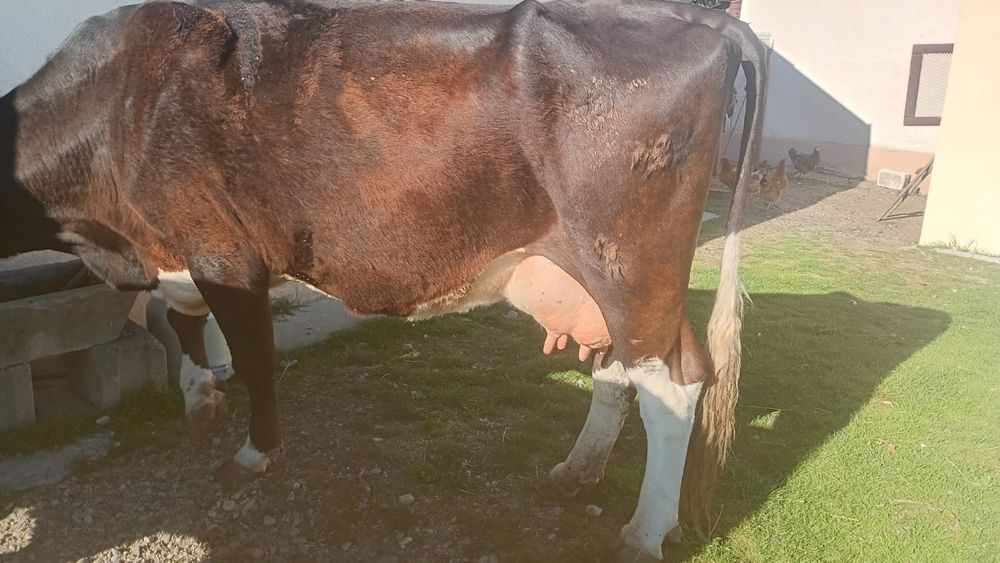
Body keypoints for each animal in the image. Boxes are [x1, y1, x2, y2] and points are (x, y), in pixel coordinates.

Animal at [0, 0, 766, 559]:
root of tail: (706, 19)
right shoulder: (173, 246)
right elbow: (184, 318)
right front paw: (197, 401)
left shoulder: (224, 249)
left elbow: (253, 357)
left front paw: (252, 452)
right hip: (617, 277)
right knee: (630, 370)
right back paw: (576, 473)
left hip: (628, 258)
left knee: (674, 386)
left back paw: (642, 532)